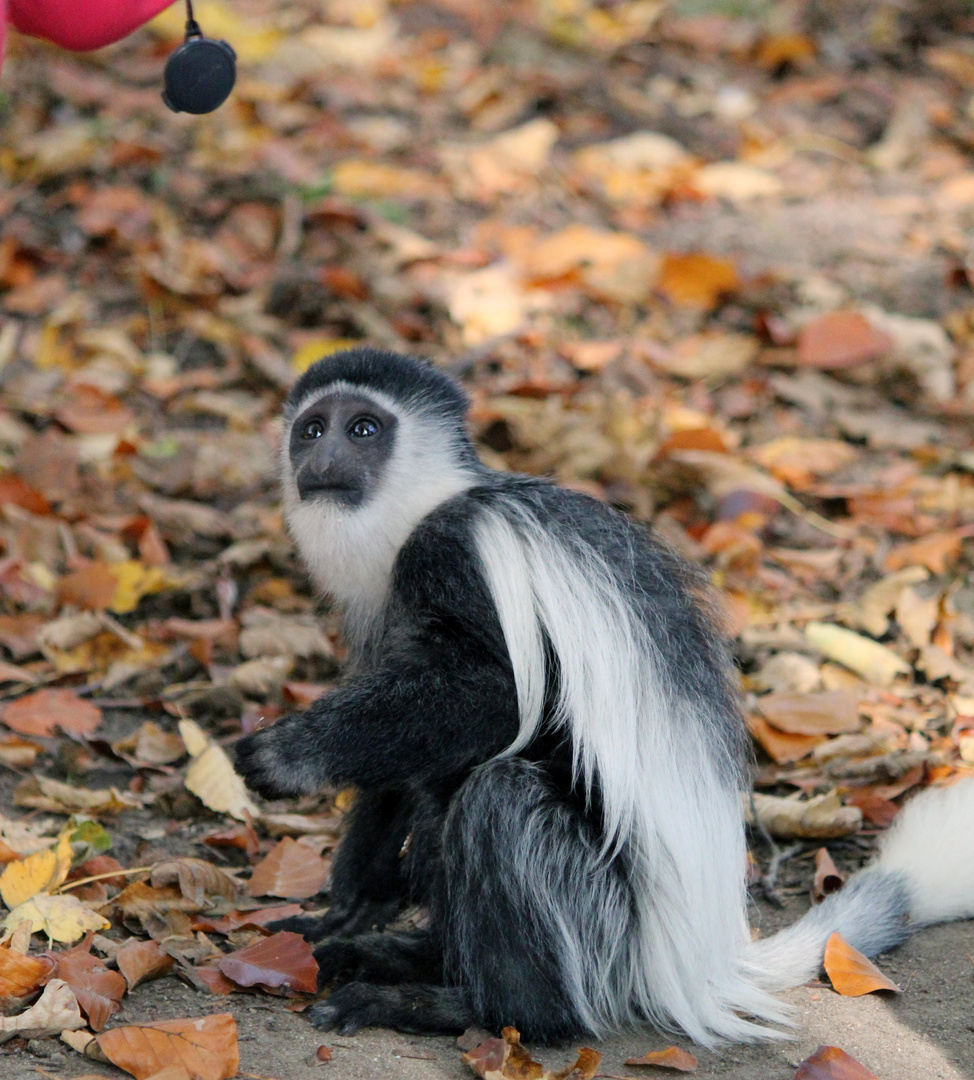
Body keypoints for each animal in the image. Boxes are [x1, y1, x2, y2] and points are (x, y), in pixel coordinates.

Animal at [234, 347, 974, 1045]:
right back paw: (408, 955)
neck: (424, 504)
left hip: (600, 923)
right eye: (311, 429)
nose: (322, 457)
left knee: (498, 797)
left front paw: (288, 754)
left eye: (362, 428)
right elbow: (393, 762)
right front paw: (349, 909)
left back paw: (473, 1009)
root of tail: (698, 967)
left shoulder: (456, 554)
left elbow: (497, 698)